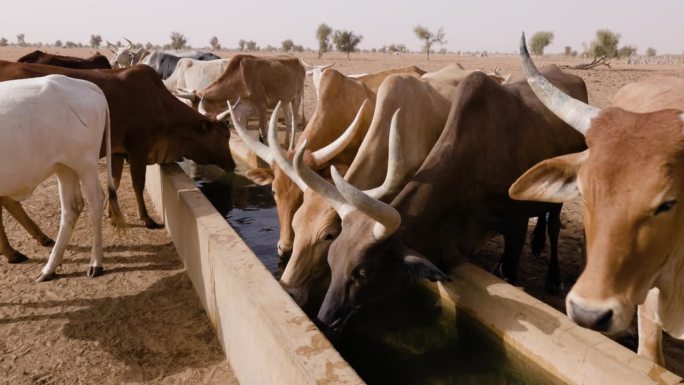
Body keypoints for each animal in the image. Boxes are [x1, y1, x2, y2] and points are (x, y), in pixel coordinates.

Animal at [0, 62, 235, 255]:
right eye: (225, 136)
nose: (232, 165)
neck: (160, 104)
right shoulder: (138, 148)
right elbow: (137, 183)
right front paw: (146, 219)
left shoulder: (117, 151)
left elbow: (115, 181)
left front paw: (110, 215)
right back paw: (13, 251)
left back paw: (36, 239)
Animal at [0, 73, 125, 280]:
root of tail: (84, 84)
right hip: (64, 166)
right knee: (71, 208)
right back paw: (49, 268)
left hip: (85, 163)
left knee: (95, 201)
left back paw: (95, 263)